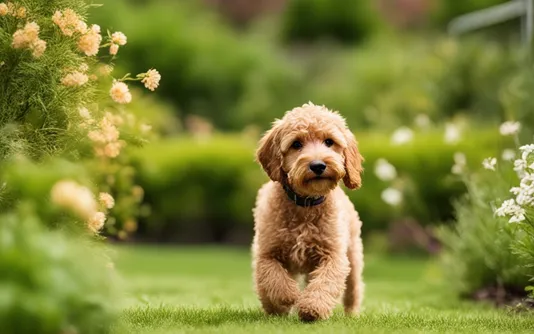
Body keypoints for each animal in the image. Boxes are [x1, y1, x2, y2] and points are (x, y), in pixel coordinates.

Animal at [253, 103, 366, 322]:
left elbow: (325, 283)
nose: (318, 165)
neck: (305, 205)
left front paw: (312, 307)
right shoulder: (266, 253)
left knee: (353, 289)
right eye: (296, 144)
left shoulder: (333, 255)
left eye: (329, 142)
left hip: (353, 256)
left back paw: (352, 314)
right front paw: (289, 296)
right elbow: (273, 278)